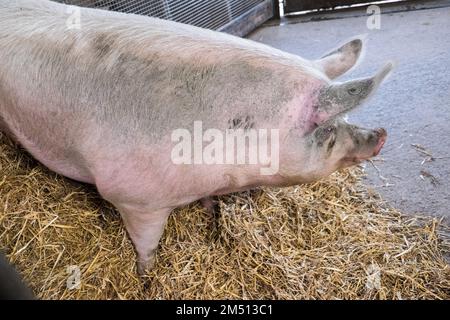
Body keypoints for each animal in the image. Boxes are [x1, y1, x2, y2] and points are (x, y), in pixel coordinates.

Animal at [0, 0, 390, 276]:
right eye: (326, 130)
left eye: (344, 118)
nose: (382, 134)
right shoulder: (133, 195)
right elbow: (146, 243)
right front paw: (146, 276)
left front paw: (210, 209)